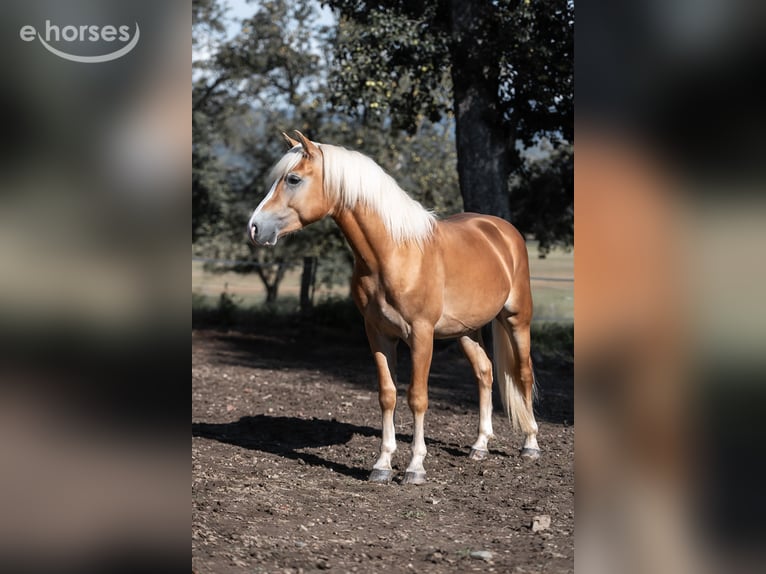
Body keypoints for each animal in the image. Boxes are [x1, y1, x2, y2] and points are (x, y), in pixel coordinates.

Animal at [248, 130, 539, 485]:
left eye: (293, 179)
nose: (255, 227)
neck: (395, 253)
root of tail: (502, 230)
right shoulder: (378, 334)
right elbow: (387, 394)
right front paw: (382, 465)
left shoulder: (422, 336)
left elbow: (417, 397)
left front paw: (415, 468)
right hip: (466, 330)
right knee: (484, 372)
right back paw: (480, 446)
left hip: (516, 319)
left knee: (524, 373)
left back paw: (530, 445)